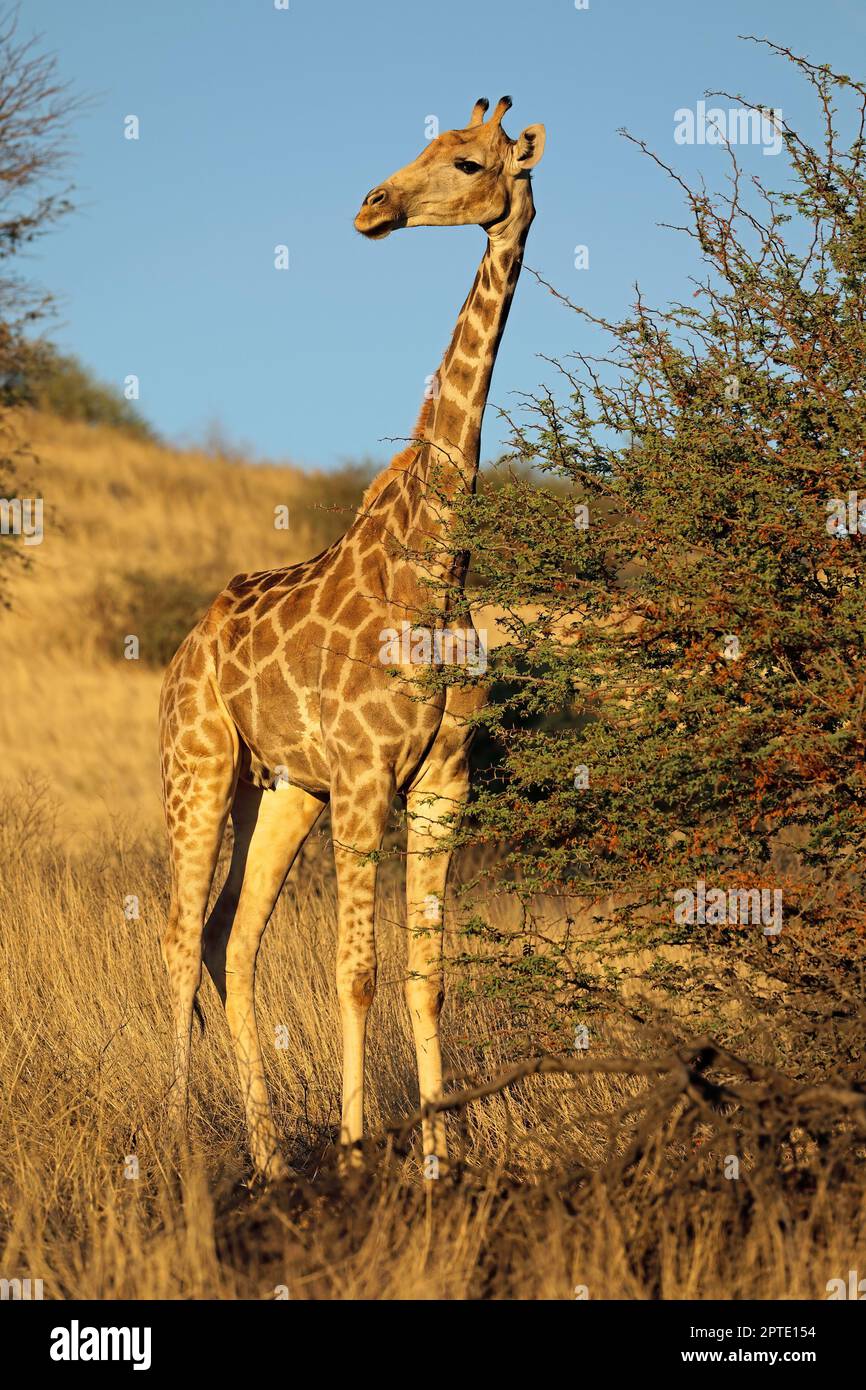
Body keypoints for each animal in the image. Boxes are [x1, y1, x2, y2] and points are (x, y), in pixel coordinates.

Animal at [159, 92, 544, 1178]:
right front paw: (363, 1145)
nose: (373, 207)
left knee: (228, 940)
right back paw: (169, 1137)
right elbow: (357, 970)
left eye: (467, 161)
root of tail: (181, 650)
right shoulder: (369, 775)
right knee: (175, 939)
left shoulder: (439, 780)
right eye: (426, 147)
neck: (437, 559)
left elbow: (425, 975)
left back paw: (265, 1156)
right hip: (200, 767)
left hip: (282, 790)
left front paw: (440, 1157)